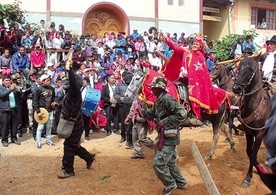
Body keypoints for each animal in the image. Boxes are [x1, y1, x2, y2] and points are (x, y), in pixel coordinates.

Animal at [232, 54, 270, 187]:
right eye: (239, 66)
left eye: (252, 69)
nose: (236, 88)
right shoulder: (249, 132)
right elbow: (249, 152)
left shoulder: (259, 133)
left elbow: (253, 154)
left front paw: (248, 178)